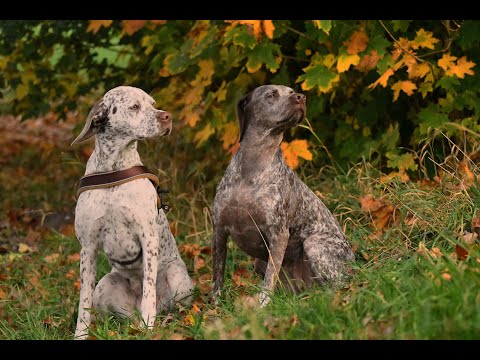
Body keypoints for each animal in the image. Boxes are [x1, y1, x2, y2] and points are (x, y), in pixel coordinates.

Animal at [72, 86, 192, 338]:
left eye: (153, 103)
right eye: (135, 106)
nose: (167, 116)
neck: (114, 168)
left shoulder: (148, 238)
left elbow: (149, 291)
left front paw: (149, 323)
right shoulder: (87, 247)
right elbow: (83, 303)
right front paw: (80, 334)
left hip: (177, 279)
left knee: (167, 307)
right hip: (104, 286)